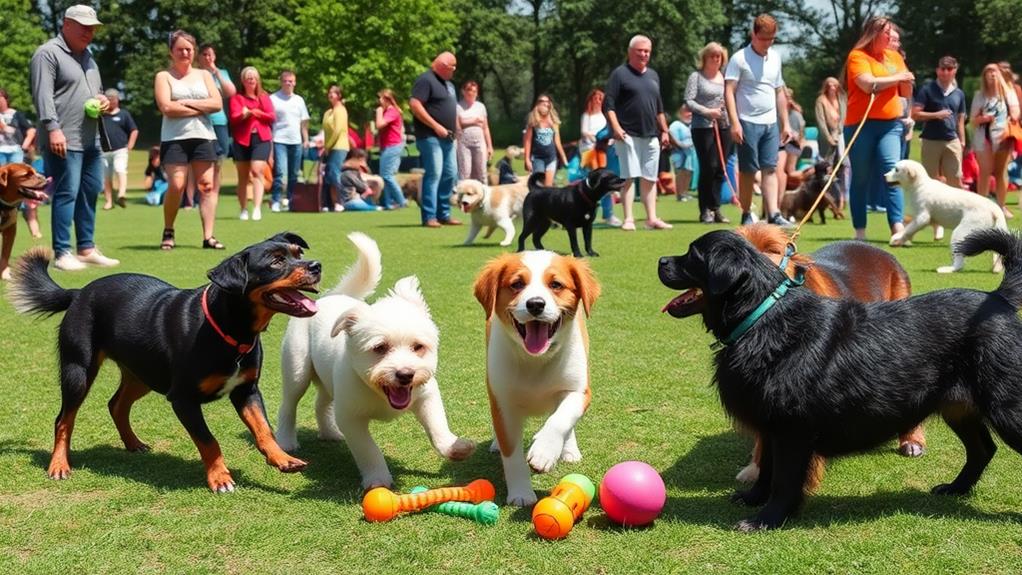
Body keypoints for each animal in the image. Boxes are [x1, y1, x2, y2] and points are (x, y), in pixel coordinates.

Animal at [6, 231, 318, 492]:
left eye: (298, 253)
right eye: (276, 262)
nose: (316, 266)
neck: (229, 328)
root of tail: (78, 293)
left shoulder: (246, 390)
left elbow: (264, 429)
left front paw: (282, 458)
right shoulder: (182, 399)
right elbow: (209, 441)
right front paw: (220, 478)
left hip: (142, 373)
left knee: (116, 405)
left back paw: (133, 443)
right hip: (78, 372)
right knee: (63, 420)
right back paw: (59, 464)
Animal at [275, 231, 474, 488]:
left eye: (418, 347)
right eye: (380, 347)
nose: (406, 374)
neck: (380, 392)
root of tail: (331, 297)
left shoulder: (427, 395)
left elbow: (438, 425)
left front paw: (454, 448)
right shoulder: (351, 418)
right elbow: (368, 450)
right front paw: (378, 479)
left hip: (327, 380)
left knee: (321, 403)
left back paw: (330, 433)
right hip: (297, 369)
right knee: (288, 404)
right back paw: (286, 441)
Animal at [470, 251, 596, 504]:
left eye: (556, 285)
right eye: (517, 284)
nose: (536, 304)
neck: (536, 360)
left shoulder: (580, 391)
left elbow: (561, 418)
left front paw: (545, 451)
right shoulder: (503, 402)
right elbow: (512, 454)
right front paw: (520, 493)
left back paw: (569, 449)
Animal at [658, 228, 1021, 531]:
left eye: (693, 255)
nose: (661, 261)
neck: (762, 317)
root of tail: (998, 299)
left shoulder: (792, 431)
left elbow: (783, 480)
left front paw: (767, 519)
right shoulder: (770, 426)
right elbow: (766, 469)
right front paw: (753, 498)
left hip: (1007, 407)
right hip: (958, 407)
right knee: (982, 449)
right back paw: (956, 488)